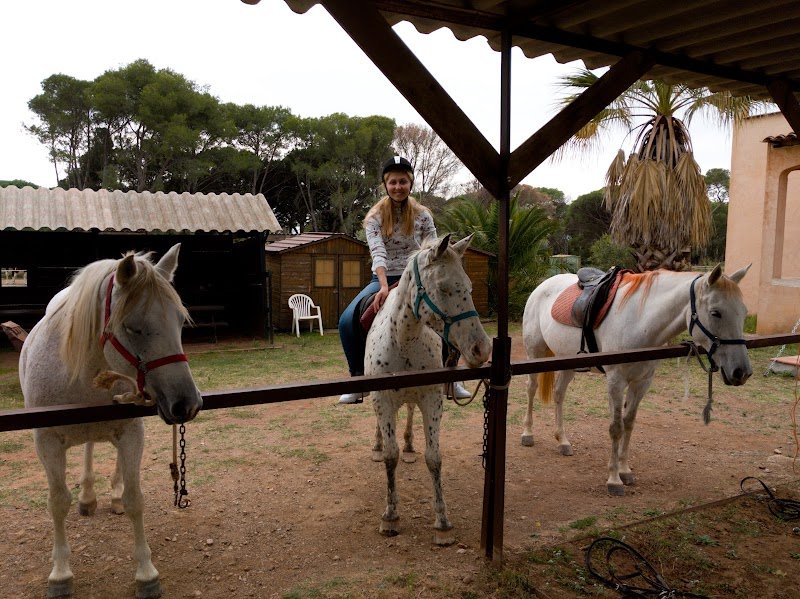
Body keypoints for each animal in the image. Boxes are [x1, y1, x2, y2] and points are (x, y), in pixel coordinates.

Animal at [19, 244, 203, 598]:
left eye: (179, 321)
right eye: (132, 327)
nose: (186, 403)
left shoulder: (131, 432)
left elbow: (135, 500)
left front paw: (146, 573)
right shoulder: (46, 441)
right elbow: (57, 502)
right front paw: (60, 574)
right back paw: (87, 498)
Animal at [365, 234, 492, 545]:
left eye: (469, 286)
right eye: (444, 288)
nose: (481, 349)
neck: (403, 339)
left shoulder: (432, 400)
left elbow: (434, 458)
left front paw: (442, 520)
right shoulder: (383, 400)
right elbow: (391, 456)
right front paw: (390, 516)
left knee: (410, 412)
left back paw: (410, 443)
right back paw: (377, 444)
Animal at [521, 264, 752, 496]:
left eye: (744, 312)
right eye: (715, 313)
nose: (742, 372)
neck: (640, 321)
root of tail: (544, 284)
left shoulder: (641, 382)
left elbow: (629, 423)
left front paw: (624, 470)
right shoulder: (616, 381)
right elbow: (616, 427)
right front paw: (614, 480)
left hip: (569, 361)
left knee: (559, 394)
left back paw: (562, 441)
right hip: (535, 352)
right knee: (531, 389)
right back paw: (528, 434)